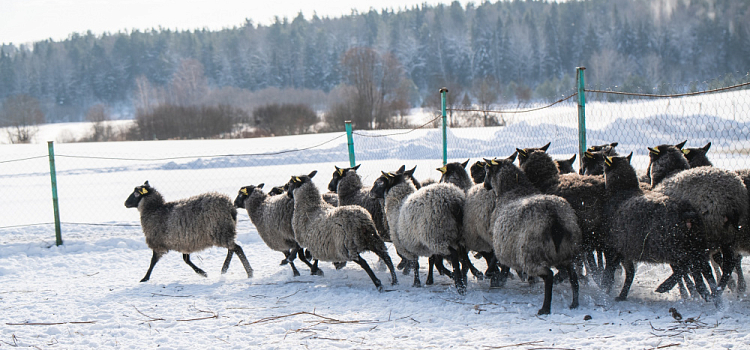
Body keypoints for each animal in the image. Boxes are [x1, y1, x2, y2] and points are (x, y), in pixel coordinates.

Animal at [123, 182, 253, 284]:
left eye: (136, 193)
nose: (125, 203)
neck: (154, 209)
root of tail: (230, 207)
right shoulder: (185, 241)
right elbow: (186, 260)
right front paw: (202, 272)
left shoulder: (159, 243)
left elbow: (153, 261)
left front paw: (144, 278)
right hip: (225, 232)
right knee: (232, 249)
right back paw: (224, 269)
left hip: (221, 231)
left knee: (237, 248)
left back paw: (249, 272)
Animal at [372, 165, 470, 294]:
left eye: (380, 182)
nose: (370, 193)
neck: (398, 204)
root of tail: (454, 201)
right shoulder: (414, 242)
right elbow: (427, 261)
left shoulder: (406, 243)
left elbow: (415, 263)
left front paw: (416, 282)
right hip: (459, 235)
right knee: (464, 256)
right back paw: (464, 279)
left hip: (437, 236)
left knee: (454, 254)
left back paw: (460, 285)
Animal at [484, 156, 584, 314]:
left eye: (487, 171)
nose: (484, 185)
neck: (512, 190)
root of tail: (554, 217)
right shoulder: (508, 243)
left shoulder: (500, 239)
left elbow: (496, 256)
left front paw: (492, 274)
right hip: (567, 251)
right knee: (573, 276)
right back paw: (574, 303)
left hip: (531, 254)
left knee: (548, 275)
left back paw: (545, 308)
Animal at [600, 153, 712, 300]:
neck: (623, 191)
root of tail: (686, 212)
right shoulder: (625, 249)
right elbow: (628, 273)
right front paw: (619, 294)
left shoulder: (616, 246)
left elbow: (612, 270)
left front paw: (606, 289)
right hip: (696, 245)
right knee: (703, 271)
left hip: (673, 247)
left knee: (685, 266)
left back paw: (664, 286)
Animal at [648, 141, 748, 300]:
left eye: (650, 157)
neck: (670, 172)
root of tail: (731, 202)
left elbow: (681, 267)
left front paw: (688, 293)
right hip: (728, 235)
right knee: (729, 263)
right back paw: (721, 289)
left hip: (708, 233)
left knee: (705, 265)